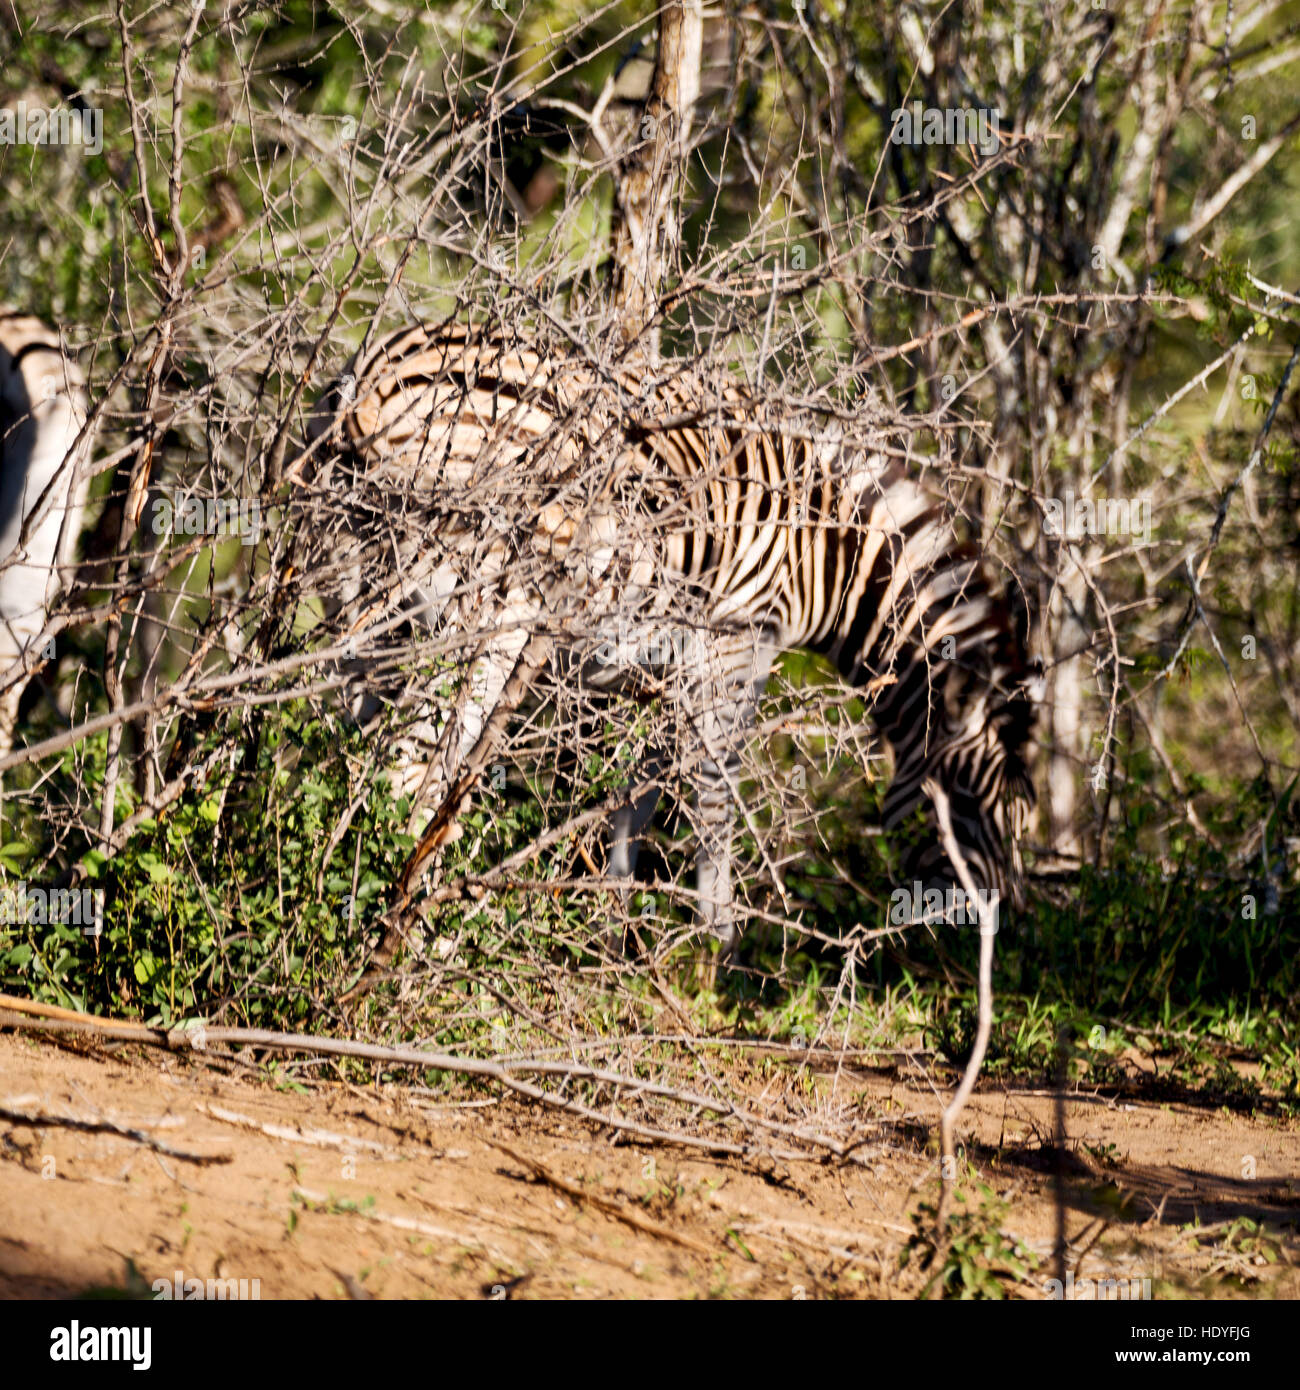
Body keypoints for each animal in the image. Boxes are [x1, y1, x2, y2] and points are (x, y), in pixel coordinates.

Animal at [296, 318, 1040, 972]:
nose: (1008, 942)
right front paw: (715, 952)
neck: (822, 551)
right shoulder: (733, 648)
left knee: (347, 746)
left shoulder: (656, 674)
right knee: (417, 763)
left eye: (1016, 820)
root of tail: (377, 380)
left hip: (355, 602)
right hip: (477, 617)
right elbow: (714, 793)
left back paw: (332, 892)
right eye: (967, 806)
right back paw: (410, 929)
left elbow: (635, 802)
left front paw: (607, 937)